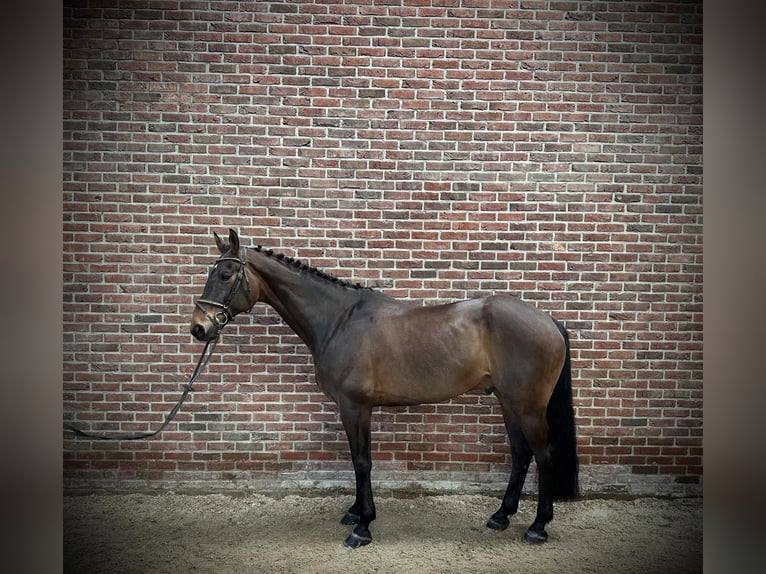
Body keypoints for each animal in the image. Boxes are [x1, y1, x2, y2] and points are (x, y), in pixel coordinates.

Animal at [190, 229, 579, 548]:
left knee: (544, 455)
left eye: (225, 274)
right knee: (521, 454)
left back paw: (538, 527)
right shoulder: (352, 408)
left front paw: (362, 527)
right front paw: (354, 512)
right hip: (508, 401)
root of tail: (549, 321)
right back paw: (501, 516)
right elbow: (356, 460)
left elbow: (362, 461)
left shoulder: (355, 406)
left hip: (528, 406)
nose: (199, 328)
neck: (339, 320)